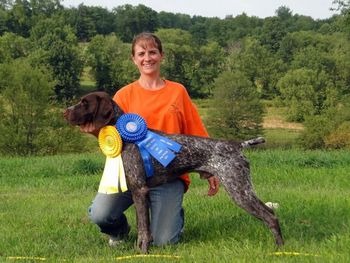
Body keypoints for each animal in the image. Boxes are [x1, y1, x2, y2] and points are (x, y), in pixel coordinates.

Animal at [63, 92, 284, 254]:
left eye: (84, 102)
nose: (65, 112)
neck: (126, 138)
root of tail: (238, 145)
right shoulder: (139, 192)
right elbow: (143, 227)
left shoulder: (139, 190)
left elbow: (144, 230)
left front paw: (142, 253)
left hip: (239, 190)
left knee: (270, 215)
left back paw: (279, 248)